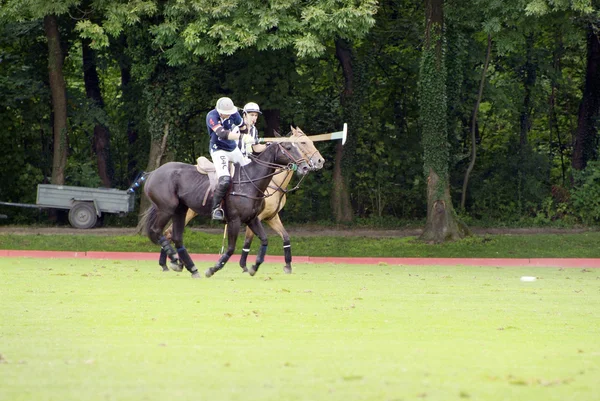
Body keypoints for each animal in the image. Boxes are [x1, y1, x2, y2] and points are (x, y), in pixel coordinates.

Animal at [163, 126, 324, 274]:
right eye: (302, 142)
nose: (319, 161)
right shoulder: (253, 217)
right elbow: (247, 241)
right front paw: (244, 266)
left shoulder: (271, 217)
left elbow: (285, 237)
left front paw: (288, 266)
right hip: (188, 212)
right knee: (168, 232)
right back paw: (170, 263)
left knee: (169, 233)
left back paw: (173, 263)